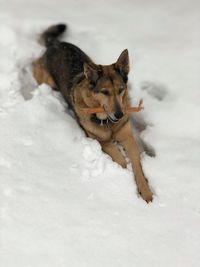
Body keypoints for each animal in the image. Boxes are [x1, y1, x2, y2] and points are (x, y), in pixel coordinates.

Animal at [32, 24, 153, 203]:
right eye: (104, 92)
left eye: (121, 90)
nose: (119, 115)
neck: (108, 123)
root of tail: (54, 43)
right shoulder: (102, 142)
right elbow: (122, 161)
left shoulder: (128, 138)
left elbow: (137, 164)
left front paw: (146, 191)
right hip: (48, 81)